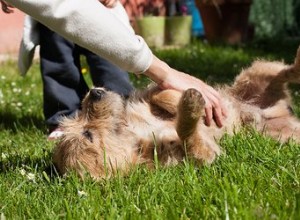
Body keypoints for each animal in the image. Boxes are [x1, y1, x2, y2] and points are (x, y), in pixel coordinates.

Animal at [52, 47, 300, 179]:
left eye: (79, 117)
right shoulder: (202, 155)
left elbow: (163, 96)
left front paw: (187, 103)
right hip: (284, 136)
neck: (135, 133)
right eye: (88, 135)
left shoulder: (150, 96)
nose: (93, 92)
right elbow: (188, 135)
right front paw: (191, 110)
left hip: (255, 73)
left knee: (285, 71)